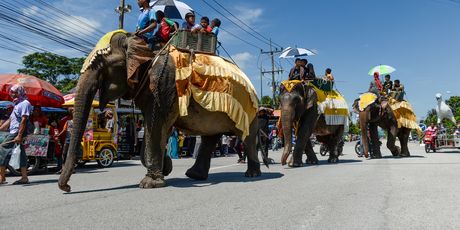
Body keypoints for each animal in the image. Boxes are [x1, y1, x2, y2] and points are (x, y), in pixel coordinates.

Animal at [57, 32, 264, 192]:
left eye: (103, 67)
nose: (67, 188)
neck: (141, 44)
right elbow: (155, 129)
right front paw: (166, 167)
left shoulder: (163, 84)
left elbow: (156, 126)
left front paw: (150, 183)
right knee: (209, 137)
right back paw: (194, 175)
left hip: (250, 112)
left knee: (247, 138)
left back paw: (252, 174)